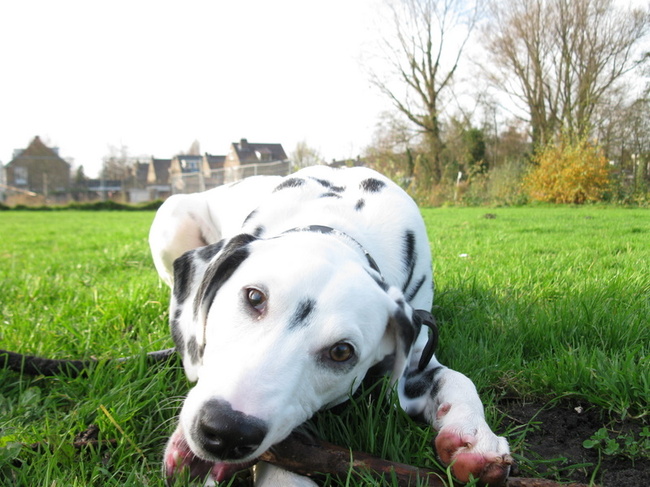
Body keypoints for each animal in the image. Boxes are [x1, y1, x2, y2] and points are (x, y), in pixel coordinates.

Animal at [149, 165, 511, 486]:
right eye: (254, 297)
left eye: (341, 352)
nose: (227, 431)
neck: (345, 222)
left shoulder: (415, 360)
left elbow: (457, 379)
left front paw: (474, 437)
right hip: (172, 214)